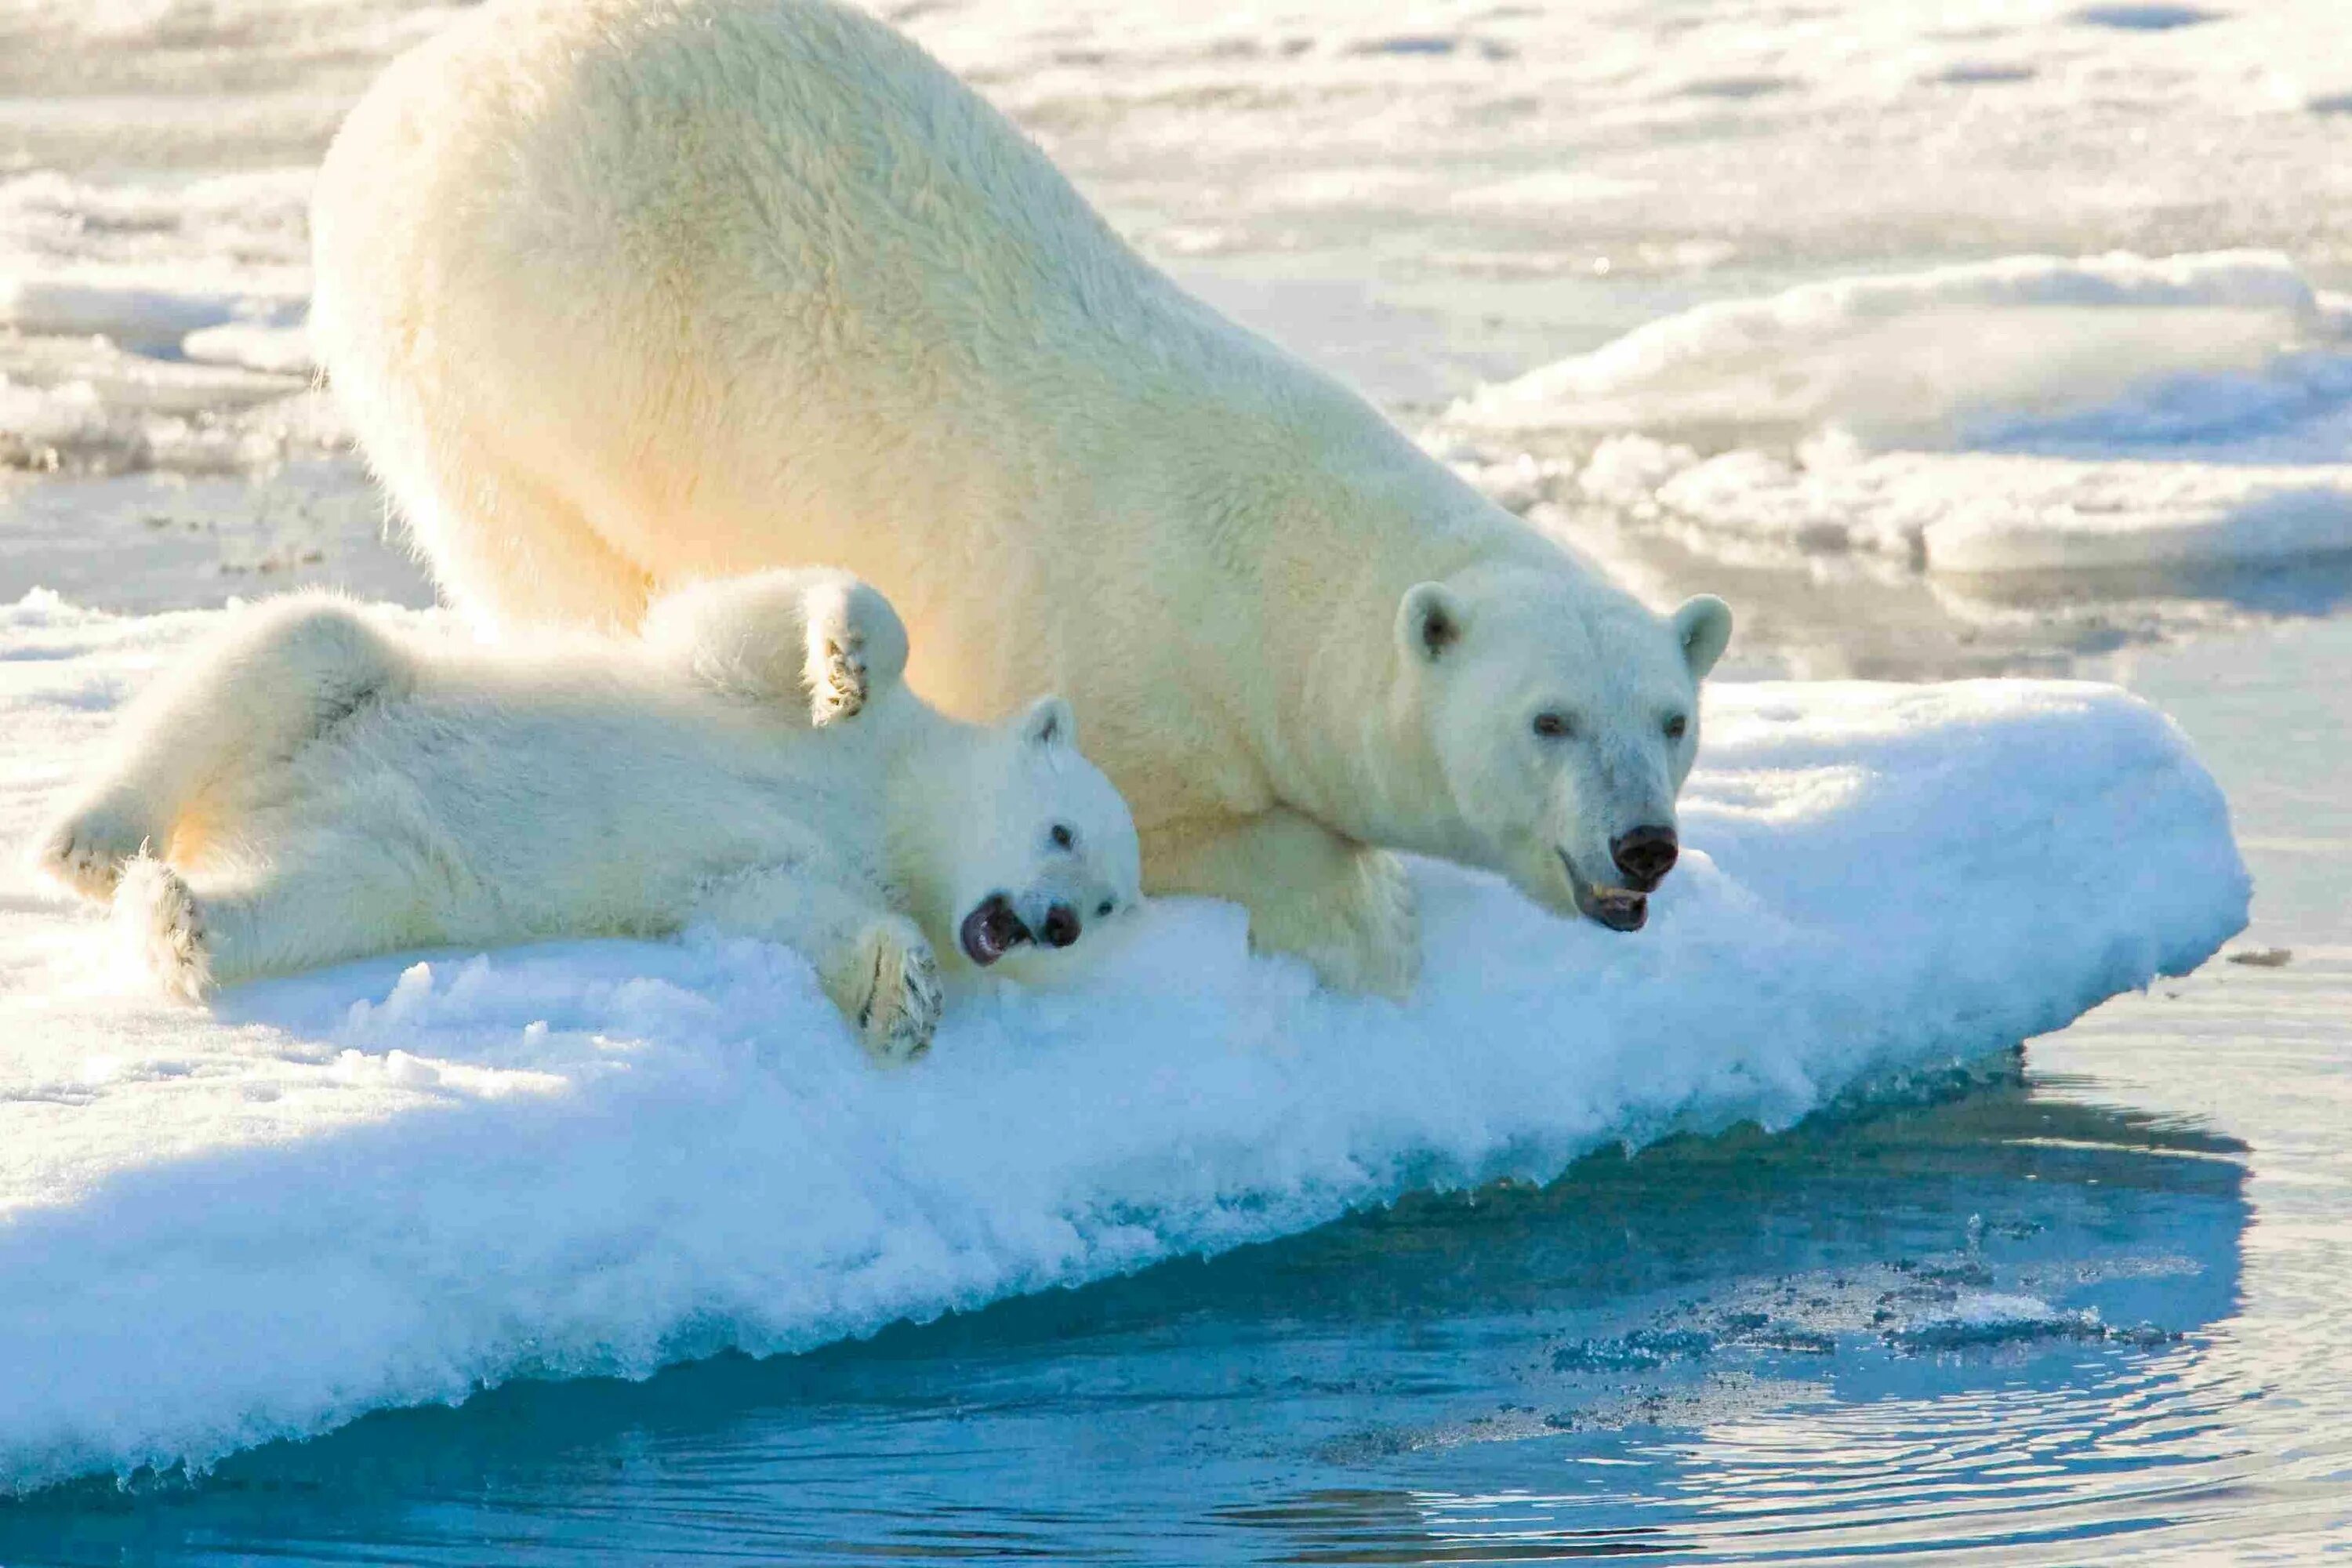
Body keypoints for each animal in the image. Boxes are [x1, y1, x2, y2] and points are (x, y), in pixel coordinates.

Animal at [313, 0, 1731, 1001]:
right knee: (549, 557)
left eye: (1671, 720)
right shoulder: (1120, 655)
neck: (1261, 562)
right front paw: (1368, 919)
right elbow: (1177, 821)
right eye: (1548, 721)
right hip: (497, 368)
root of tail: (393, 91)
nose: (1644, 846)